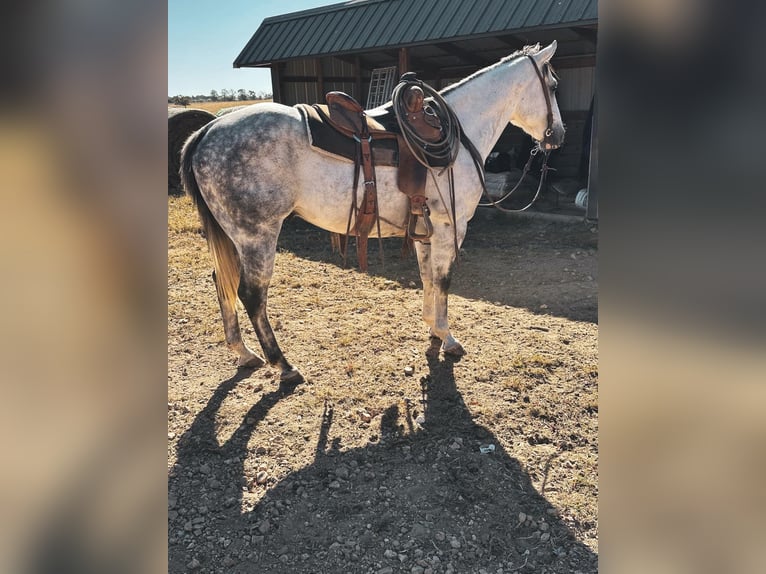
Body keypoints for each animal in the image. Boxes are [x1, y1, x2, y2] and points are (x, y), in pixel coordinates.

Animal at [180, 41, 565, 384]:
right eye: (553, 85)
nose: (558, 136)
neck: (458, 138)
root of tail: (206, 131)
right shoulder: (450, 227)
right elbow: (443, 279)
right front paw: (448, 337)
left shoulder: (425, 230)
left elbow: (427, 277)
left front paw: (432, 330)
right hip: (257, 236)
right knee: (252, 295)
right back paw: (283, 365)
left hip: (233, 236)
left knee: (222, 281)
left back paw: (244, 353)